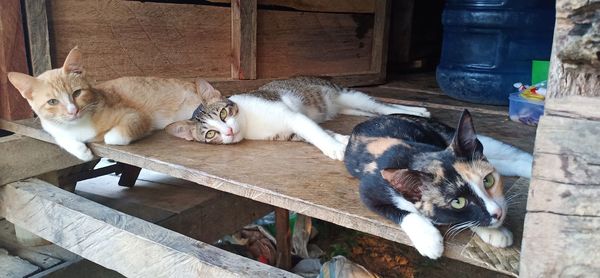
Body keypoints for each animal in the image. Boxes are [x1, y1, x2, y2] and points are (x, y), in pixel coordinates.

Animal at [5, 47, 209, 161]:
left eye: (77, 93)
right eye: (52, 102)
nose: (73, 111)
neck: (79, 125)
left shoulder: (136, 115)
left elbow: (114, 136)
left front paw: (105, 136)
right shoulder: (51, 128)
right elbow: (60, 137)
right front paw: (81, 150)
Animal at [166, 76, 428, 161]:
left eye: (223, 113)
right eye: (211, 134)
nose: (228, 132)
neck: (249, 124)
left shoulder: (292, 115)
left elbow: (315, 132)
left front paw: (334, 147)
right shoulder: (288, 132)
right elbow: (314, 134)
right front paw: (341, 140)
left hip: (348, 94)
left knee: (382, 106)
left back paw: (418, 111)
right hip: (348, 107)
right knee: (370, 111)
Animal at [344, 109, 532, 260]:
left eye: (488, 180)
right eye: (458, 202)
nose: (498, 213)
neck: (414, 156)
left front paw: (495, 231)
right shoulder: (369, 190)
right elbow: (400, 211)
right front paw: (429, 239)